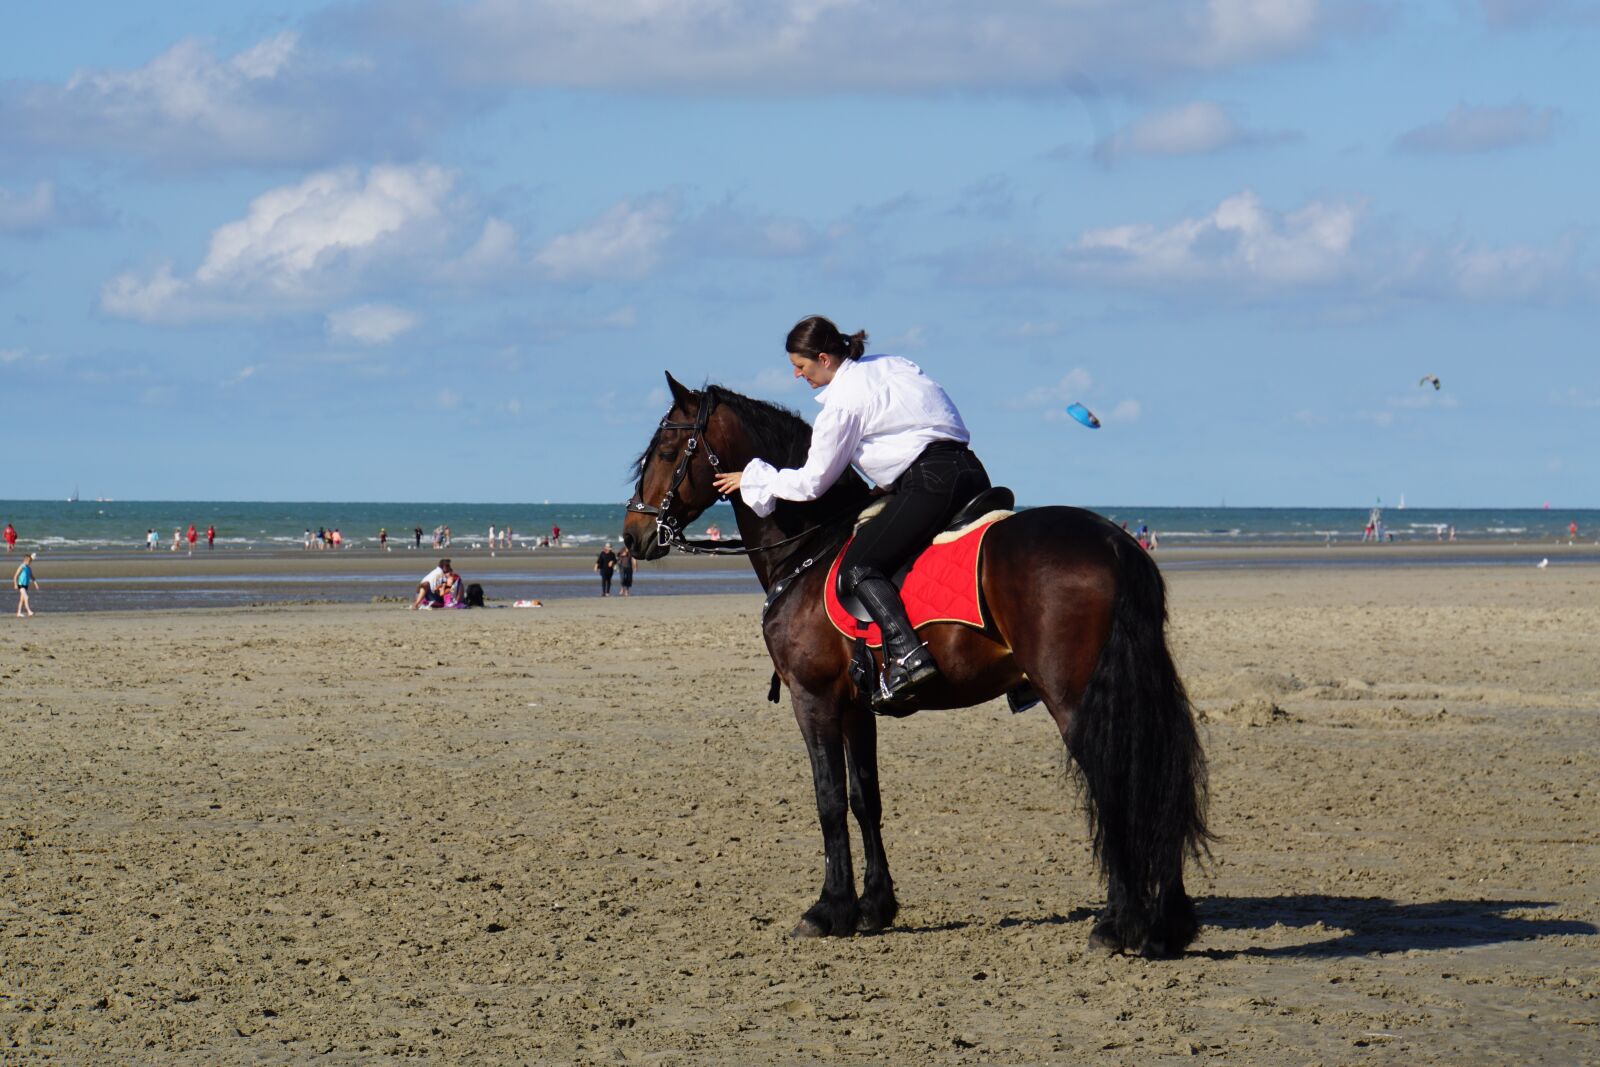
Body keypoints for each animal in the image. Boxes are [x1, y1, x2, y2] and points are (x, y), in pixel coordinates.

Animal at [624, 375, 1209, 959]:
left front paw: (828, 909)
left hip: (1073, 698)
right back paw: (1167, 925)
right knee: (1152, 776)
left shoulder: (813, 698)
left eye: (667, 451)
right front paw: (874, 907)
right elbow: (865, 799)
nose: (632, 535)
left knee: (1116, 783)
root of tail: (1113, 541)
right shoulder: (857, 708)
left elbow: (828, 799)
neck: (808, 551)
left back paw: (1118, 923)